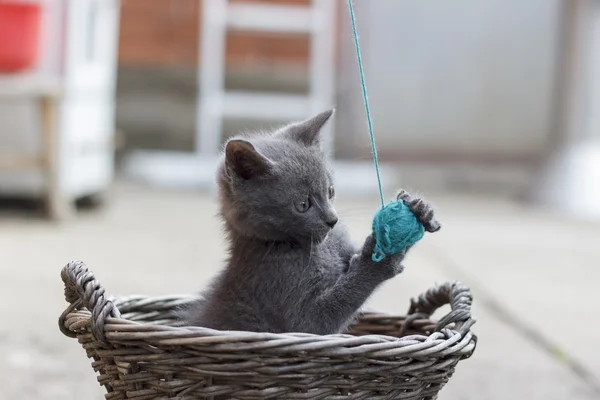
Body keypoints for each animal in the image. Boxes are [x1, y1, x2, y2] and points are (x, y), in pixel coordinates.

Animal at [180, 109, 438, 334]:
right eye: (303, 205)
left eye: (330, 191)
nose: (333, 220)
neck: (315, 248)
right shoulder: (295, 312)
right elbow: (322, 316)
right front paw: (379, 261)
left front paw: (418, 209)